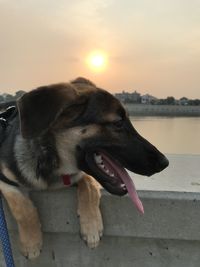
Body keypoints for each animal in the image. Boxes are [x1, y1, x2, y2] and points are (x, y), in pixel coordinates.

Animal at [0, 77, 169, 260]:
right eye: (117, 123)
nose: (165, 162)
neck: (54, 163)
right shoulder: (4, 180)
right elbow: (23, 207)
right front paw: (31, 243)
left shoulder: (82, 175)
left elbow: (88, 187)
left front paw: (92, 227)